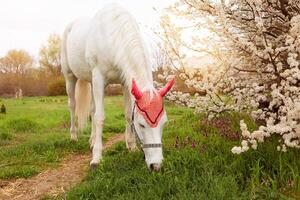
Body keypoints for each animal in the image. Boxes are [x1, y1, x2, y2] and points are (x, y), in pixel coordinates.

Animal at [60, 3, 175, 171]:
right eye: (142, 124)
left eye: (164, 123)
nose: (156, 165)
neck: (112, 33)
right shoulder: (99, 78)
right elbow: (100, 117)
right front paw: (96, 158)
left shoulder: (126, 83)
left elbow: (127, 114)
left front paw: (132, 147)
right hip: (70, 76)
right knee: (72, 105)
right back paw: (74, 136)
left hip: (91, 81)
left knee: (92, 109)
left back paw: (92, 140)